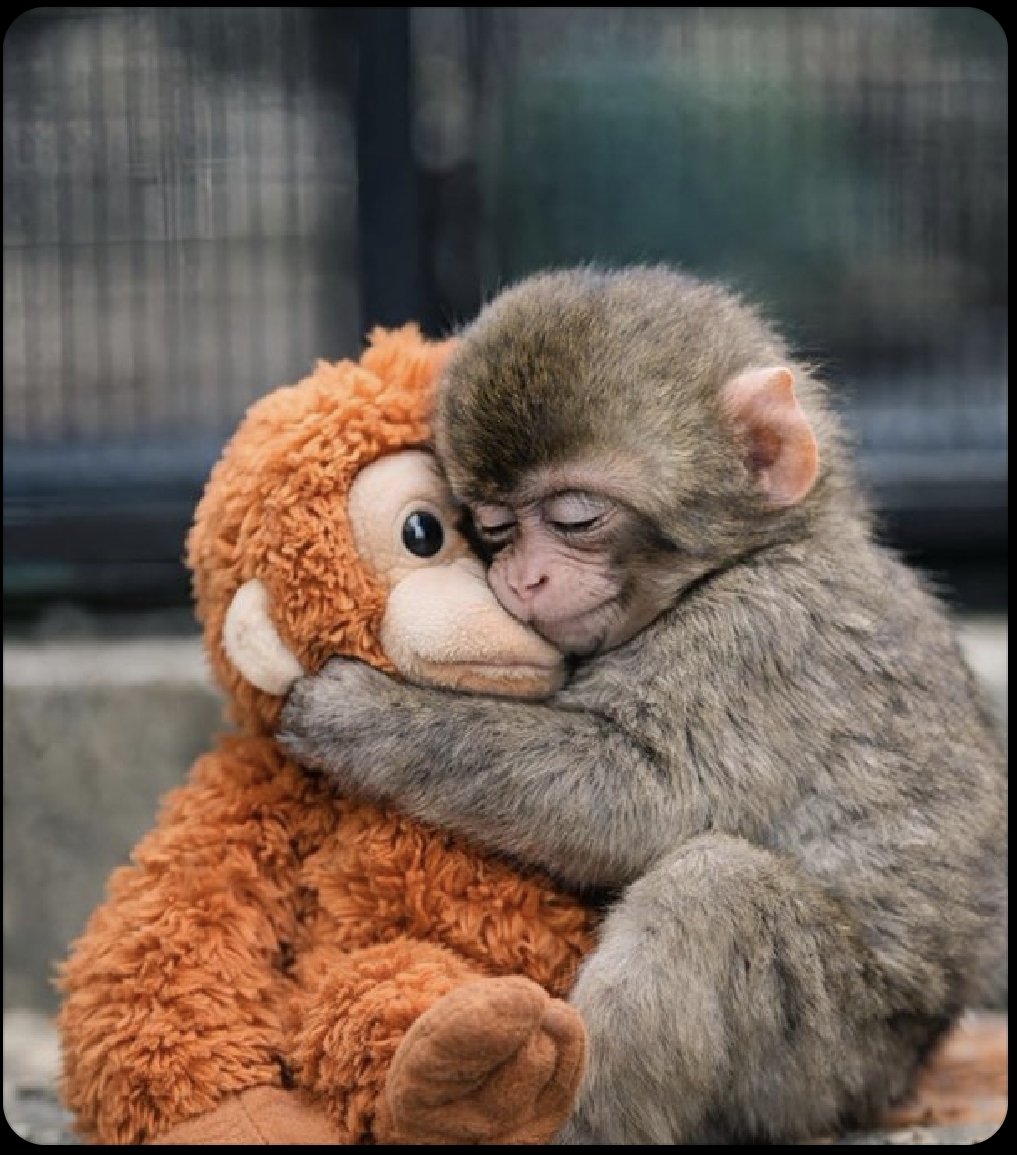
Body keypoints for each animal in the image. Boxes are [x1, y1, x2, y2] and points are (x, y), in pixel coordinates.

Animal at [278, 265, 1007, 1144]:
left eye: (575, 517)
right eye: (494, 527)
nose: (522, 579)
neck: (751, 555)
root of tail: (902, 1073)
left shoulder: (755, 640)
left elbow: (642, 796)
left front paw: (359, 714)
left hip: (829, 1058)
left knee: (711, 890)